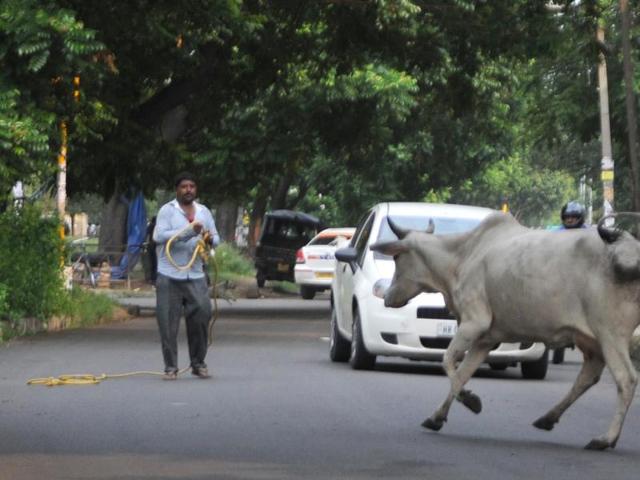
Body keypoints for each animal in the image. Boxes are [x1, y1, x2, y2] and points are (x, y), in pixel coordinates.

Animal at [369, 211, 640, 450]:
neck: (461, 255)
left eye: (397, 258)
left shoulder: (474, 322)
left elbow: (448, 361)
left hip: (610, 334)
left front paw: (471, 401)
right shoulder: (485, 338)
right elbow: (463, 372)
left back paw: (605, 439)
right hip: (592, 340)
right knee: (588, 377)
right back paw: (548, 418)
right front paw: (437, 416)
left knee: (626, 379)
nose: (388, 297)